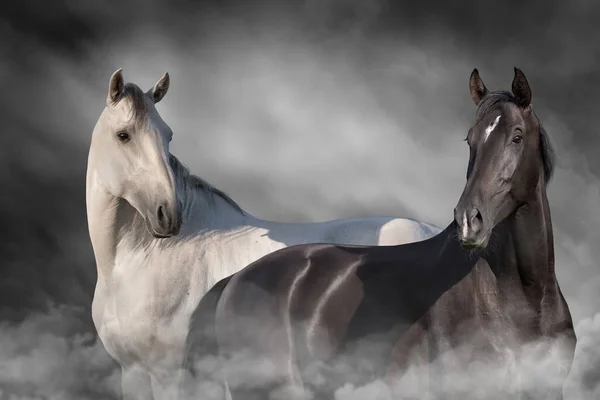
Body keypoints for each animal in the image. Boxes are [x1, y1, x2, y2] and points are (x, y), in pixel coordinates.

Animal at [85, 69, 440, 400]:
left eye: (168, 136)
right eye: (123, 135)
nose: (168, 214)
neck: (133, 265)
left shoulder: (170, 373)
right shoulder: (132, 371)